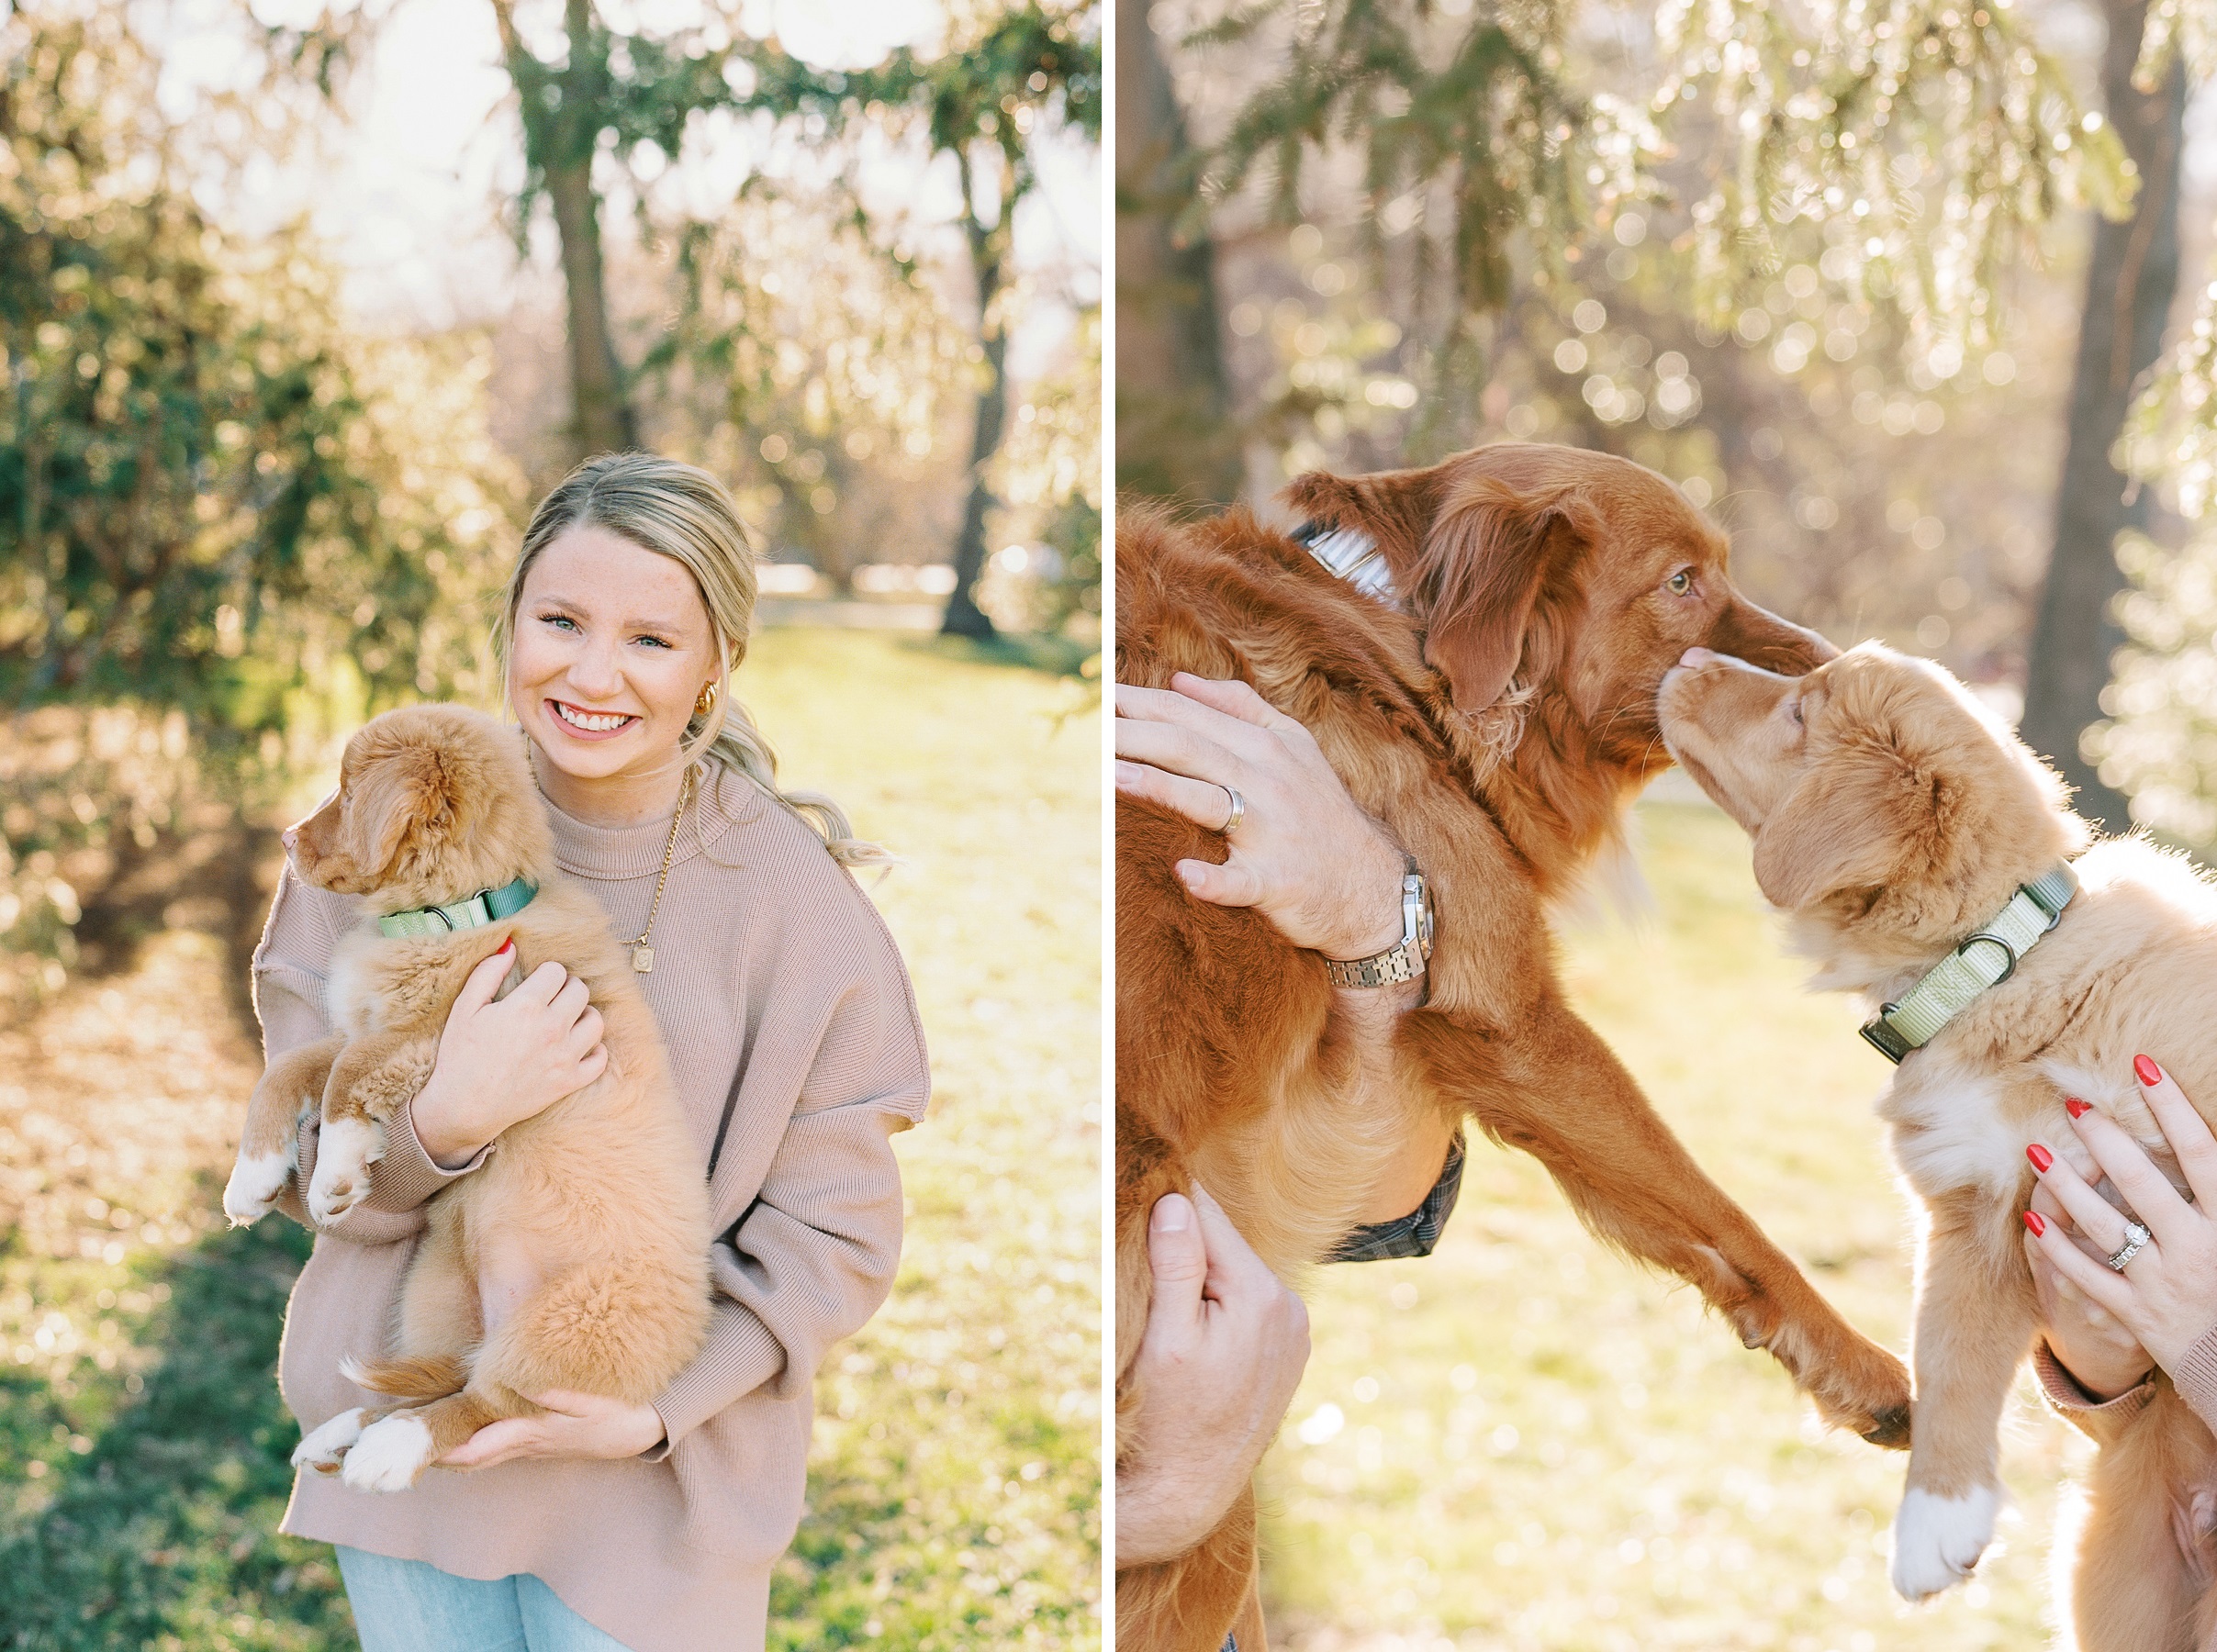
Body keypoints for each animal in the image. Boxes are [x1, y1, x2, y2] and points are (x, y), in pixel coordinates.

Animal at [219, 700, 704, 1490]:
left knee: (485, 1404)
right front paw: (253, 1178)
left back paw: (390, 1448)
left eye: (347, 793)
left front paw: (335, 1177)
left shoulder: (437, 1032)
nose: (286, 839)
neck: (457, 910)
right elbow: (290, 1068)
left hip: (574, 1323)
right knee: (444, 1379)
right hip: (438, 1287)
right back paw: (344, 1432)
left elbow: (348, 1074)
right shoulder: (372, 1022)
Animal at [1667, 642, 2217, 1640]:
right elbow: (1948, 1355)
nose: (1685, 655)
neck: (1994, 965)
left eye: (1798, 714)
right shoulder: (1978, 1209)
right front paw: (1935, 1525)